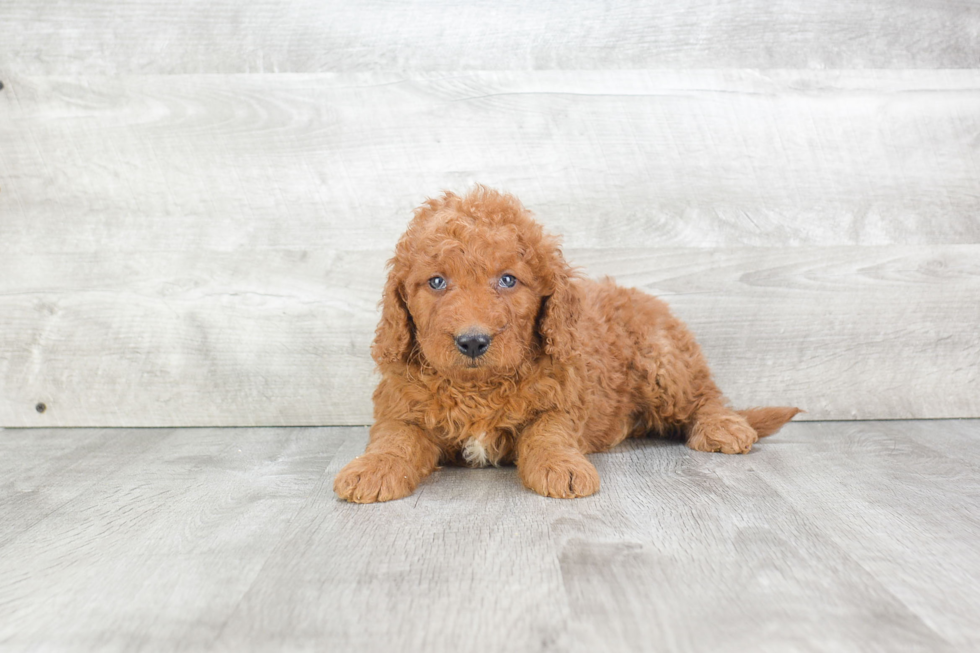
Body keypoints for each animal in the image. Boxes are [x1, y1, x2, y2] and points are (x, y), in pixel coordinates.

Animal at [334, 186, 800, 502]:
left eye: (508, 280)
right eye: (436, 282)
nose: (472, 341)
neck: (478, 387)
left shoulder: (561, 400)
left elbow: (548, 434)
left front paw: (562, 467)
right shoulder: (400, 408)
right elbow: (394, 438)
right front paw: (372, 469)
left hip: (664, 363)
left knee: (705, 396)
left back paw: (724, 426)